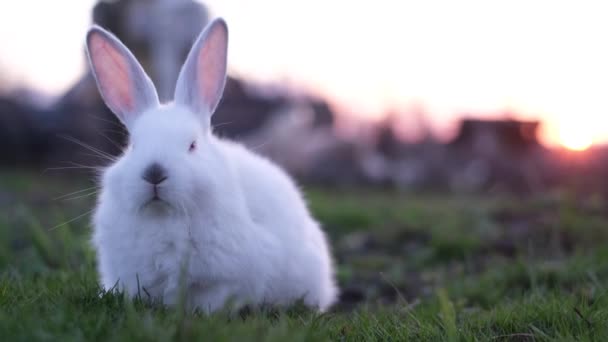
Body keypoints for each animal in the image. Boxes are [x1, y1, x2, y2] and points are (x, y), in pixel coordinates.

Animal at [86, 18, 338, 312]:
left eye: (192, 145)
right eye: (133, 145)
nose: (154, 173)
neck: (165, 216)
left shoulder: (227, 279)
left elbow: (215, 298)